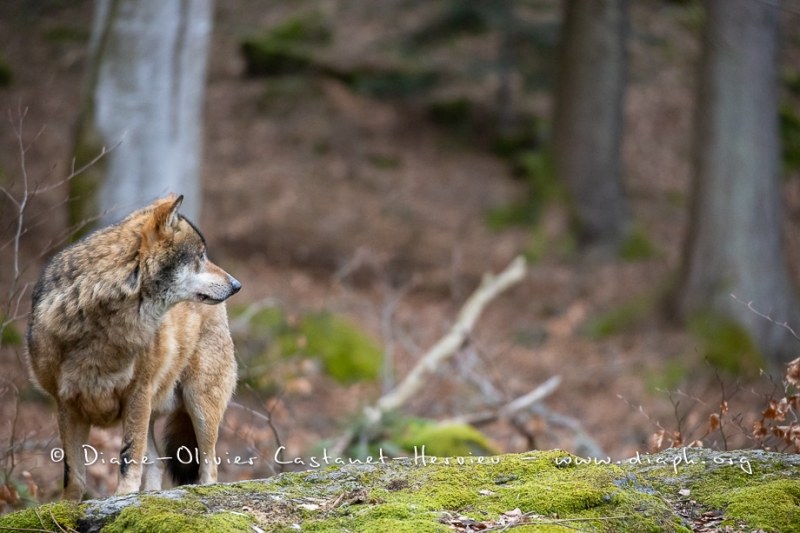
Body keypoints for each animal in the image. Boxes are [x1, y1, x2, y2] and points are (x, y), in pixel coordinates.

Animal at [27, 194, 241, 498]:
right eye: (200, 257)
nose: (237, 285)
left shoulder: (137, 393)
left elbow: (128, 459)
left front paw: (123, 497)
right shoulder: (65, 404)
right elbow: (74, 475)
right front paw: (68, 507)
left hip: (197, 403)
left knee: (209, 466)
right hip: (153, 410)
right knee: (157, 464)